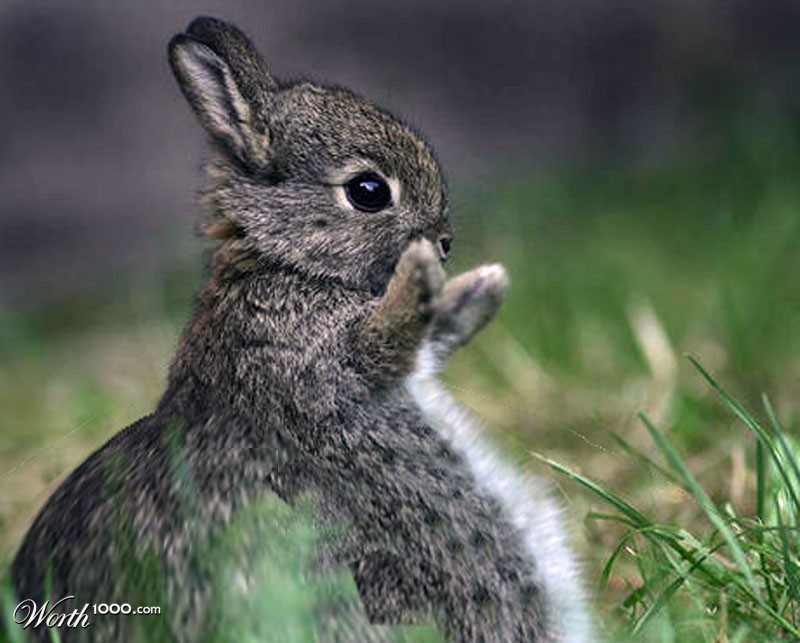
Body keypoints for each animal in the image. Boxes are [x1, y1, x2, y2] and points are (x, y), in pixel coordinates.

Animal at [10, 16, 592, 643]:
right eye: (368, 191)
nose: (443, 243)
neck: (285, 262)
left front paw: (483, 286)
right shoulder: (323, 360)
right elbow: (384, 343)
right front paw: (424, 275)